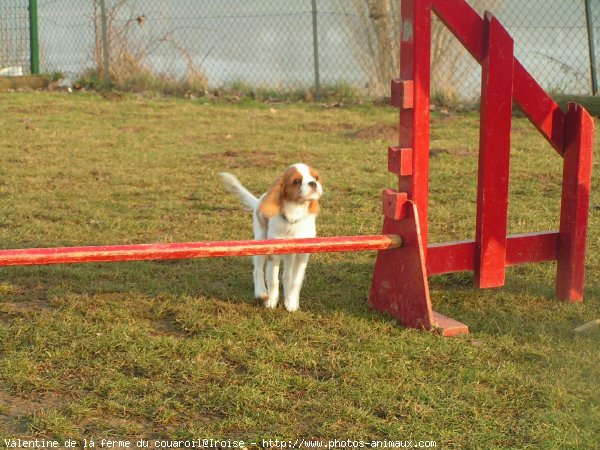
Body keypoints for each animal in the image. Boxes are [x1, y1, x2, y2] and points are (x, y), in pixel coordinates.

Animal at [220, 163, 324, 312]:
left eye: (316, 177)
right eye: (296, 181)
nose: (313, 183)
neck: (294, 216)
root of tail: (260, 200)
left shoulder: (302, 253)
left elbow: (296, 280)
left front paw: (291, 302)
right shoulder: (273, 253)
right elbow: (273, 280)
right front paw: (272, 302)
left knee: (287, 275)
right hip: (260, 240)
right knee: (257, 270)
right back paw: (261, 292)